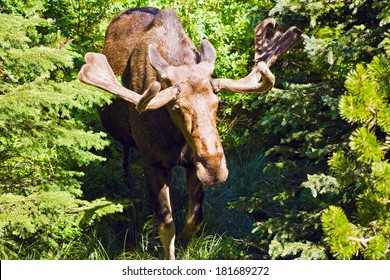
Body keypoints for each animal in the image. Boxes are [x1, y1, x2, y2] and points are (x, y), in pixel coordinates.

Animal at [77, 7, 300, 260]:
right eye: (176, 107)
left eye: (217, 102)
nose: (214, 169)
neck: (177, 142)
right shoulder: (151, 160)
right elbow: (166, 224)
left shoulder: (194, 164)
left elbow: (195, 219)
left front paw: (184, 246)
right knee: (125, 153)